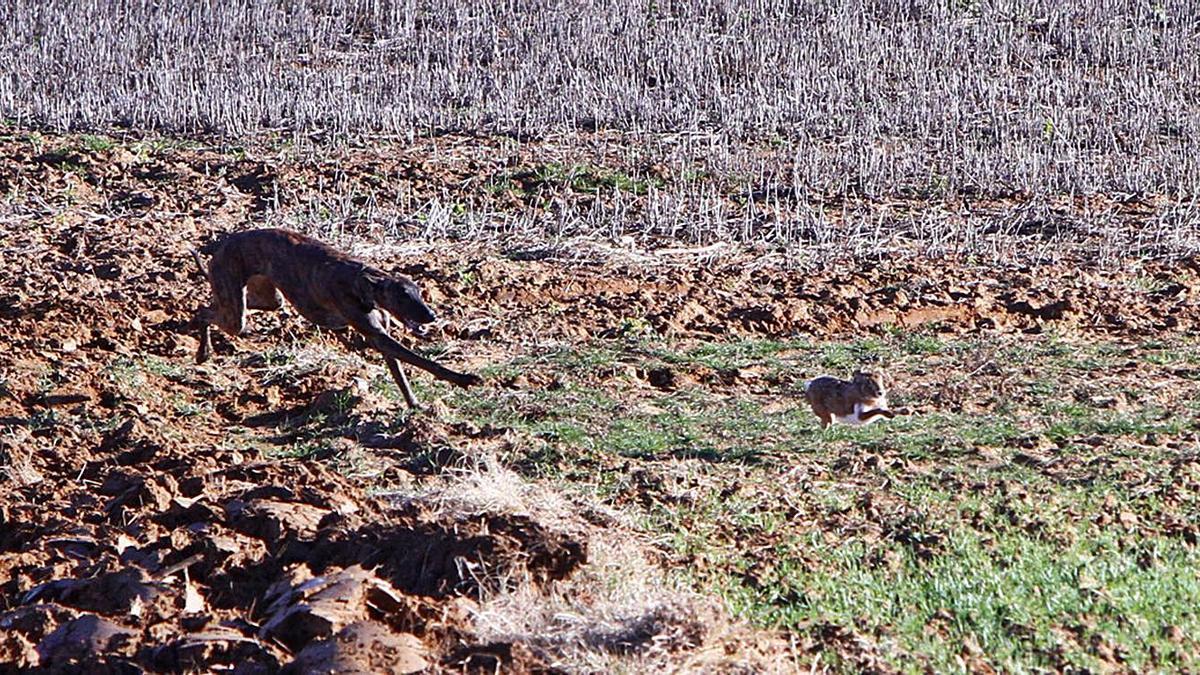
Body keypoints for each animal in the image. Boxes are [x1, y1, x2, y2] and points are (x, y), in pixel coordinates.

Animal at [194, 225, 480, 408]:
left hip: (268, 300)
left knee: (211, 308)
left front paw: (415, 404)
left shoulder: (381, 336)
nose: (432, 316)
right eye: (403, 297)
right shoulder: (376, 334)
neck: (364, 282)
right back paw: (202, 351)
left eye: (419, 292)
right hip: (237, 313)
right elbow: (424, 362)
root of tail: (221, 246)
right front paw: (463, 379)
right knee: (203, 312)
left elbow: (400, 373)